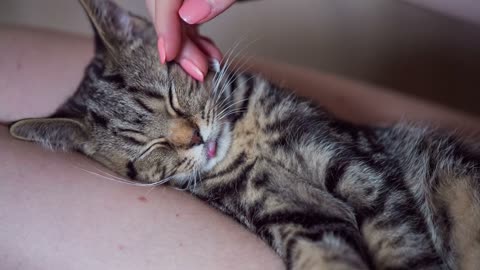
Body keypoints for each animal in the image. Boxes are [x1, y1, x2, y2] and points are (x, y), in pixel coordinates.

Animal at [9, 1, 478, 268]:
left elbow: (399, 243)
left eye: (171, 97)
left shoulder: (357, 165)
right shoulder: (296, 218)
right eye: (148, 148)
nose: (195, 138)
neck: (246, 147)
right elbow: (325, 256)